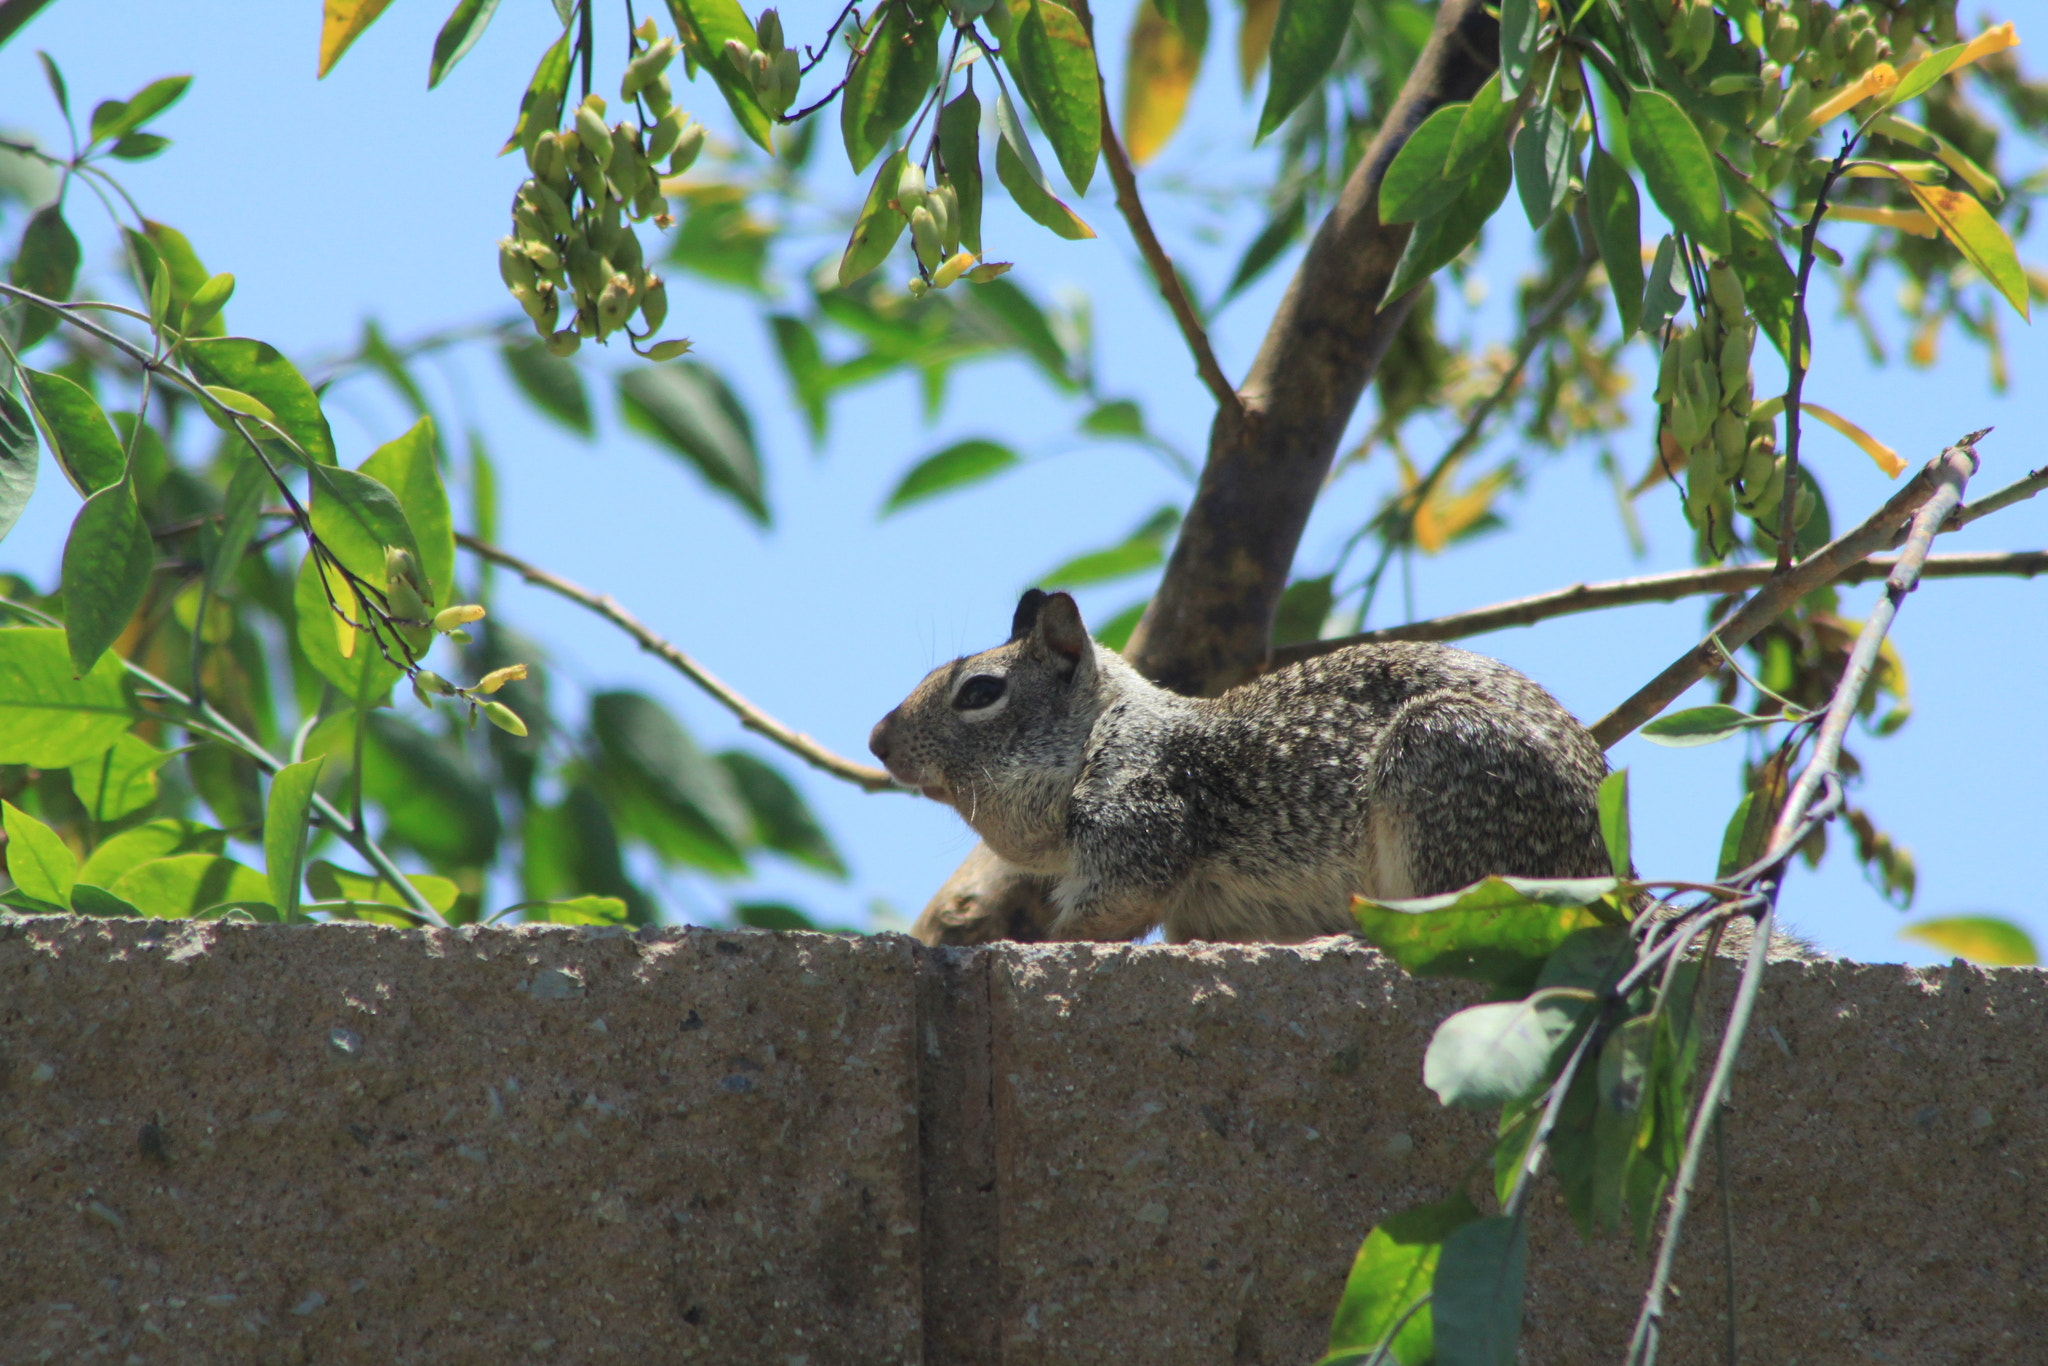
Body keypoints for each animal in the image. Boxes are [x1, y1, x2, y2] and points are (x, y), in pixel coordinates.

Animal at [869, 589, 1614, 945]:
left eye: (979, 692)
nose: (877, 740)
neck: (1103, 730)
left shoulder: (1139, 815)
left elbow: (1102, 912)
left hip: (1438, 763)